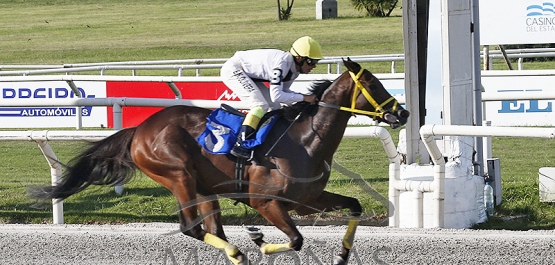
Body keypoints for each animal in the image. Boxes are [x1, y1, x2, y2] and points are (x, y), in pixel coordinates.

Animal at [29, 58, 408, 264]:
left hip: (203, 186)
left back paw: (237, 253)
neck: (305, 139)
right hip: (178, 175)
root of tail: (139, 129)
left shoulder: (308, 200)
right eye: (374, 84)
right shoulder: (265, 201)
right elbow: (297, 240)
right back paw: (240, 252)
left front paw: (343, 254)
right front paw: (260, 240)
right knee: (193, 229)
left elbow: (355, 206)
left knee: (211, 229)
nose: (403, 112)